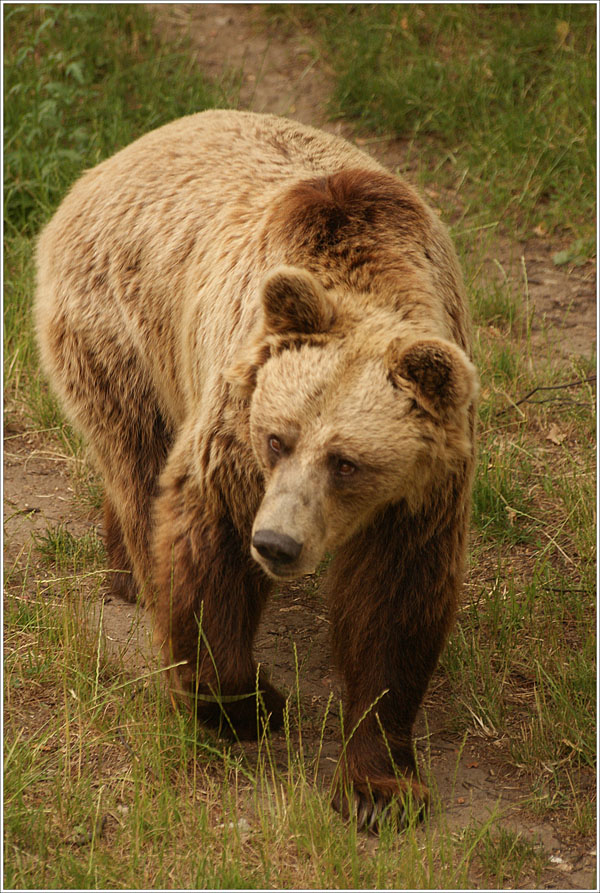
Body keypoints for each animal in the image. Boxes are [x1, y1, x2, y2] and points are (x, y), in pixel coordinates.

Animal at [37, 110, 478, 828]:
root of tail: (107, 162)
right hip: (122, 325)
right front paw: (248, 705)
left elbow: (394, 601)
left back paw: (122, 568)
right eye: (277, 438)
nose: (277, 542)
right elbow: (206, 537)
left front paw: (378, 788)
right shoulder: (237, 417)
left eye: (347, 462)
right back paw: (137, 574)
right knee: (138, 462)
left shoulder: (424, 487)